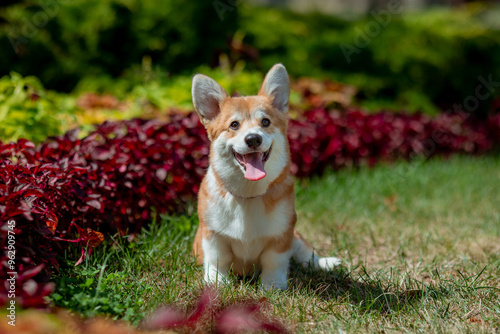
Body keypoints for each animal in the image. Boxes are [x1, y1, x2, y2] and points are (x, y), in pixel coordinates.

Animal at [191, 63, 340, 290]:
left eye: (265, 122)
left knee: (306, 254)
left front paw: (272, 286)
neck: (249, 194)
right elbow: (217, 260)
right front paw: (216, 283)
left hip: (296, 236)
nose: (253, 138)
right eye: (234, 125)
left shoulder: (282, 233)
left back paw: (326, 263)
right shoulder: (212, 235)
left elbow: (274, 261)